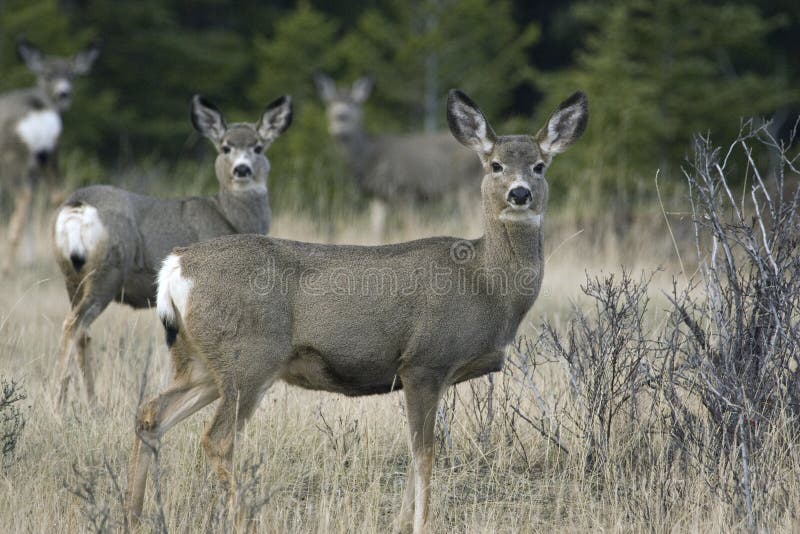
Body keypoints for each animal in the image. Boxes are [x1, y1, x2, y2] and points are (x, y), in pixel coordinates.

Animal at [0, 38, 100, 271]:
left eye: (72, 74)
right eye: (47, 74)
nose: (64, 93)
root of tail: (37, 108)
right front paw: (29, 260)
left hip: (13, 159)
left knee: (24, 197)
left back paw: (7, 265)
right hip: (50, 155)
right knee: (56, 194)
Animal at [52, 95, 292, 406]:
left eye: (258, 147)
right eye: (226, 147)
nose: (242, 169)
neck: (229, 216)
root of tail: (77, 208)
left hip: (72, 276)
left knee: (82, 332)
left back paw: (90, 403)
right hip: (107, 272)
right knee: (74, 325)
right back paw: (58, 402)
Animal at [315, 74, 482, 241]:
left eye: (354, 102)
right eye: (330, 102)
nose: (340, 116)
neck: (368, 155)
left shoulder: (404, 190)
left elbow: (409, 225)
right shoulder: (379, 195)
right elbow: (376, 229)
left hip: (466, 185)